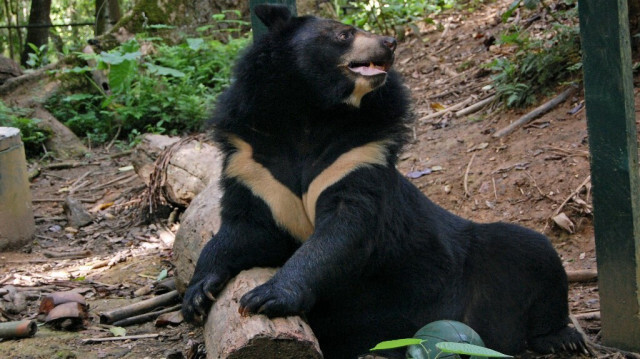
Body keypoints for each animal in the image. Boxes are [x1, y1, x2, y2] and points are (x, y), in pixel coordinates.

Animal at [182, 4, 588, 358]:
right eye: (344, 34)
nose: (390, 43)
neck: (310, 113)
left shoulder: (358, 155)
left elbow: (343, 232)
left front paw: (265, 297)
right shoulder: (252, 162)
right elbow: (245, 229)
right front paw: (197, 295)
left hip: (478, 258)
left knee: (534, 253)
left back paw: (562, 338)